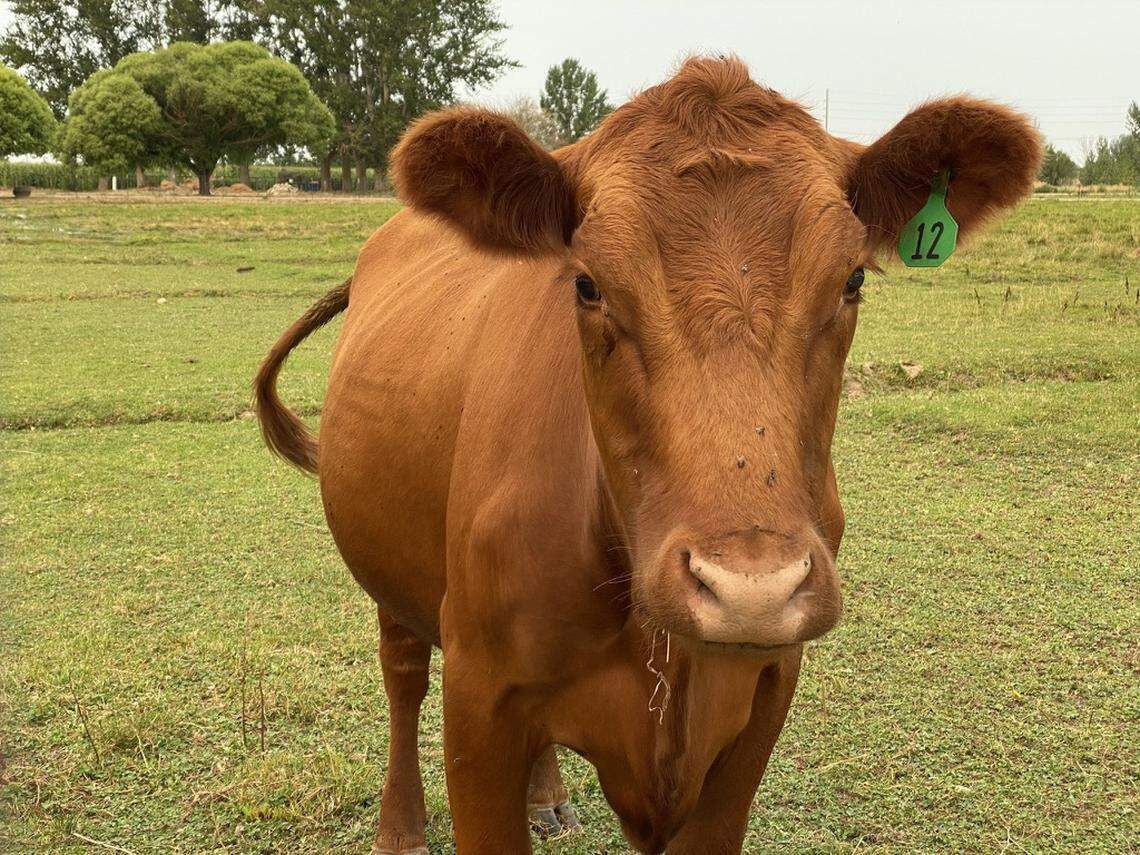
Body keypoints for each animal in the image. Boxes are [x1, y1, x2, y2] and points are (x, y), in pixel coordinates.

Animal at [254, 57, 1040, 854]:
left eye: (851, 280)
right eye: (587, 283)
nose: (751, 589)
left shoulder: (763, 698)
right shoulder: (478, 696)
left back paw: (547, 795)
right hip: (386, 571)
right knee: (403, 673)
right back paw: (401, 826)